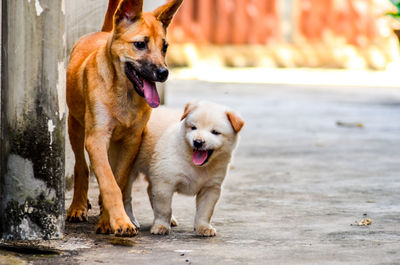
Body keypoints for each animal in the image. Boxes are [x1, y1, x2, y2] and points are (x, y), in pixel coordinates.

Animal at [67, 0, 183, 235]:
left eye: (165, 47)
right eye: (139, 44)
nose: (163, 73)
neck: (124, 92)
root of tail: (103, 32)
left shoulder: (131, 141)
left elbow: (117, 179)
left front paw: (107, 219)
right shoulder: (96, 139)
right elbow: (108, 181)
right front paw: (120, 221)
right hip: (74, 127)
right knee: (81, 166)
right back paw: (78, 206)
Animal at [124, 100, 244, 235]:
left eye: (215, 132)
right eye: (193, 127)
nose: (198, 142)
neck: (196, 165)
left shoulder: (211, 188)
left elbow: (205, 211)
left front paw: (203, 227)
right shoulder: (164, 183)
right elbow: (164, 209)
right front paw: (161, 226)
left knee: (150, 190)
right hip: (128, 171)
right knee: (126, 197)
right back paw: (130, 220)